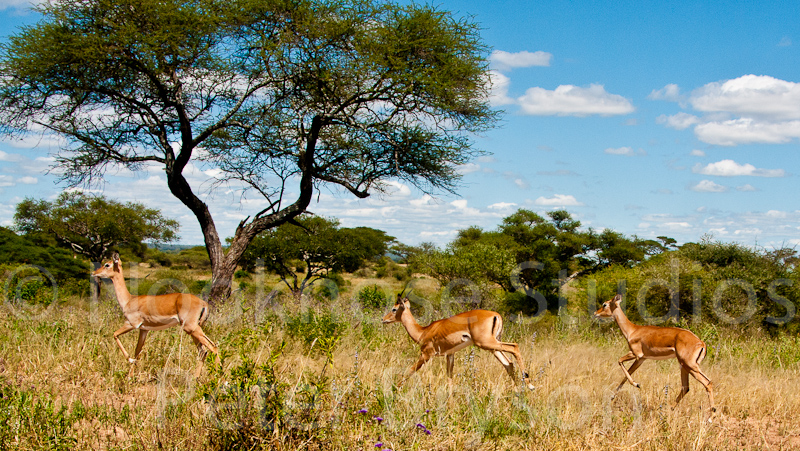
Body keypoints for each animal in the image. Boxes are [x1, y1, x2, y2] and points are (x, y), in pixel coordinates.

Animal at [382, 292, 536, 390]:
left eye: (394, 309)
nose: (383, 319)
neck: (423, 331)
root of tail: (496, 315)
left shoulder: (426, 354)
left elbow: (409, 371)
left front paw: (395, 389)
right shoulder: (450, 355)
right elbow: (449, 379)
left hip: (486, 343)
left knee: (514, 347)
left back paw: (529, 385)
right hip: (493, 347)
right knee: (508, 363)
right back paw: (518, 392)